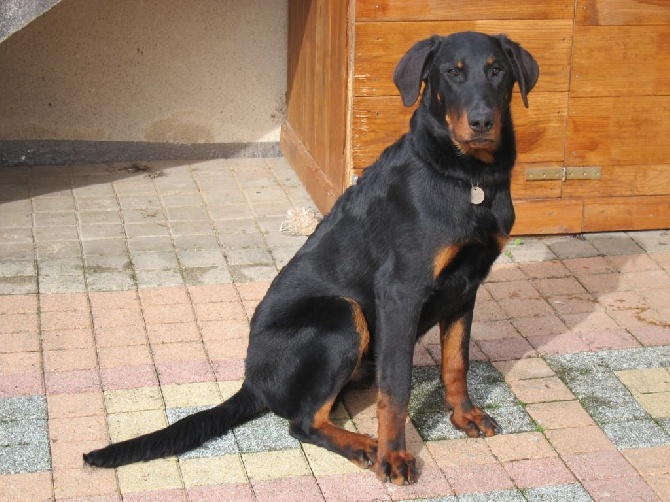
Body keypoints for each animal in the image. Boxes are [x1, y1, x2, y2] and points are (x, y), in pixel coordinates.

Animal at [82, 32, 540, 486]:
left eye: (497, 71)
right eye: (451, 73)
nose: (481, 122)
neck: (469, 179)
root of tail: (253, 381)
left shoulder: (466, 287)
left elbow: (456, 362)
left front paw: (464, 415)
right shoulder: (401, 291)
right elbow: (396, 388)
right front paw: (394, 455)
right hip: (341, 316)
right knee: (303, 423)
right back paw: (362, 445)